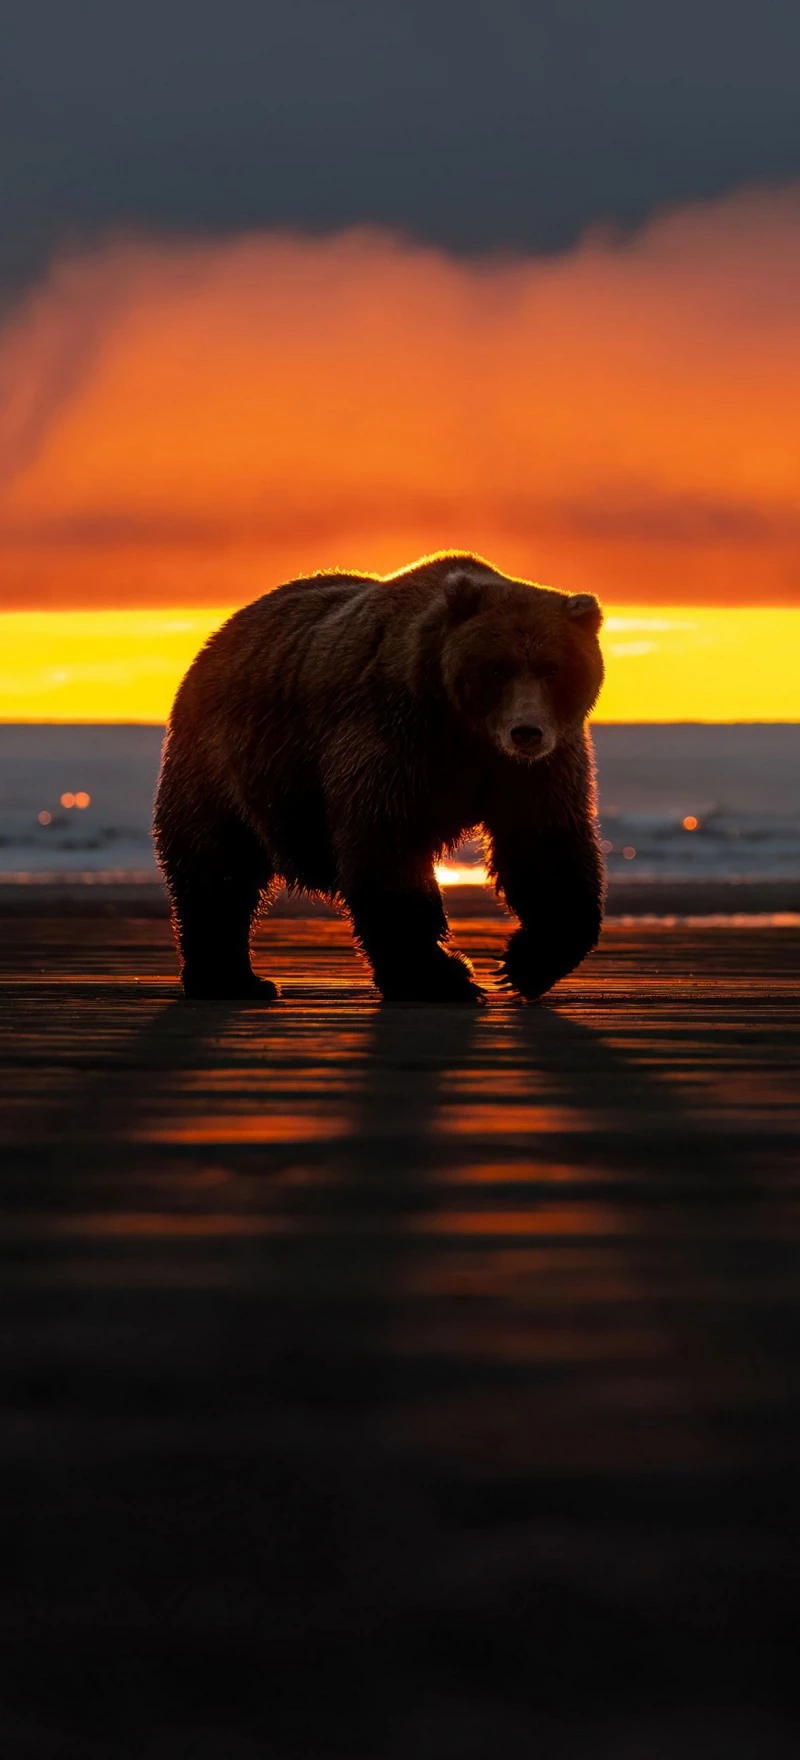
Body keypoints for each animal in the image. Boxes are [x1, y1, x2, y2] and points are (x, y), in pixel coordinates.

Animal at [153, 552, 605, 1004]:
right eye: (497, 670)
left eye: (553, 669)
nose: (526, 732)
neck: (463, 730)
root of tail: (221, 633)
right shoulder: (391, 736)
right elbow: (388, 842)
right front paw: (440, 976)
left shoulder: (536, 766)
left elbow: (544, 843)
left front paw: (525, 964)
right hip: (222, 757)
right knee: (218, 864)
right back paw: (228, 979)